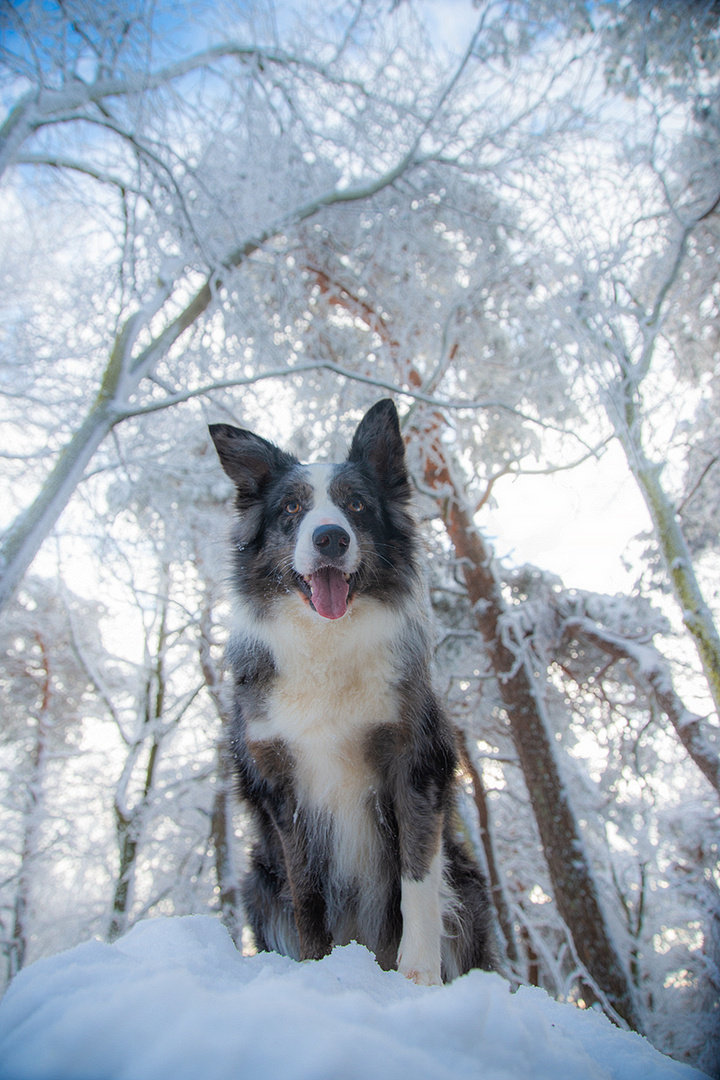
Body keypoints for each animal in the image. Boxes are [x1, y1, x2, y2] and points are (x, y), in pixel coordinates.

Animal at [209, 399, 496, 989]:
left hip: (471, 885)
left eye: (357, 506)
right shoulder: (284, 789)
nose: (330, 538)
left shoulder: (416, 763)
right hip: (256, 883)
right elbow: (307, 898)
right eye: (292, 507)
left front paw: (419, 977)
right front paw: (316, 969)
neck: (326, 642)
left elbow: (417, 880)